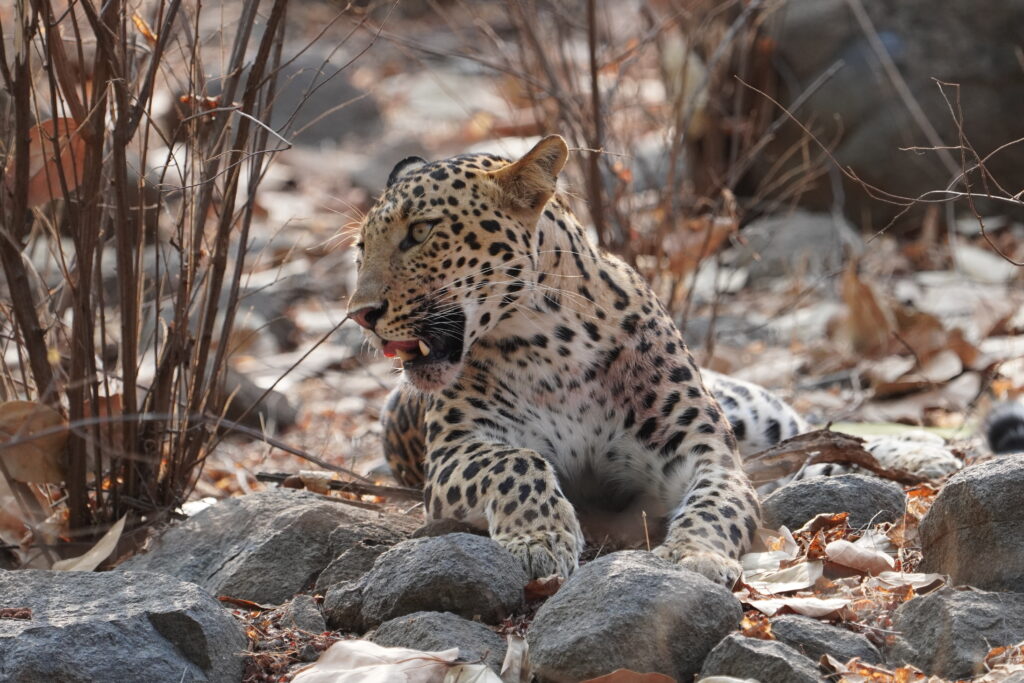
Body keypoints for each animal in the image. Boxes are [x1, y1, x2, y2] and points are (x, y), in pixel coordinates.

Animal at [347, 134, 777, 586]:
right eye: (361, 248)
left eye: (420, 231)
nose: (359, 314)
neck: (553, 345)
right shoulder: (455, 449)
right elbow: (516, 462)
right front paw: (540, 539)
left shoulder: (705, 449)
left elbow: (718, 501)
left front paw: (695, 554)